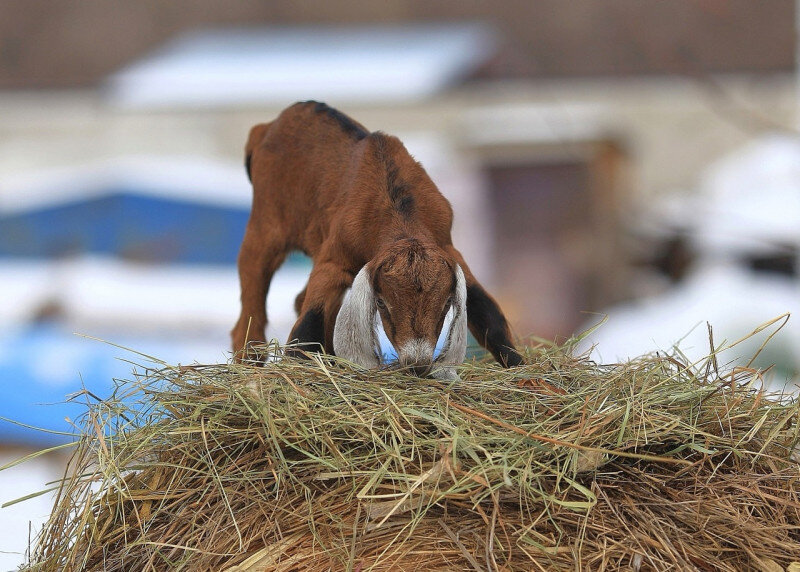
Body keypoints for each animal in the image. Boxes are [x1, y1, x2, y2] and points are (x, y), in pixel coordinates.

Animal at [230, 101, 524, 378]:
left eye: (446, 304)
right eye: (381, 302)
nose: (416, 364)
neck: (395, 208)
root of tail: (265, 128)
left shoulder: (448, 247)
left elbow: (489, 314)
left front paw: (522, 370)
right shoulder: (334, 259)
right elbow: (309, 323)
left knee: (297, 299)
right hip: (265, 226)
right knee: (252, 302)